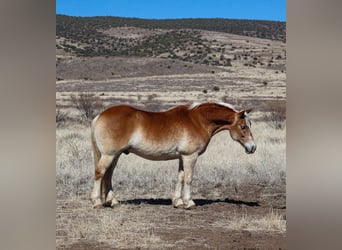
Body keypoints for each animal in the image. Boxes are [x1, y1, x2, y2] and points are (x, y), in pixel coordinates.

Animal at [89, 101, 255, 209]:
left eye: (249, 125)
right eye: (243, 127)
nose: (253, 147)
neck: (198, 121)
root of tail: (100, 115)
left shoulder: (182, 157)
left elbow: (180, 177)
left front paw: (178, 201)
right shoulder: (190, 156)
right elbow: (188, 178)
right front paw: (189, 202)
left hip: (115, 156)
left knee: (108, 175)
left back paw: (113, 201)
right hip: (109, 155)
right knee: (100, 173)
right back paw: (97, 202)